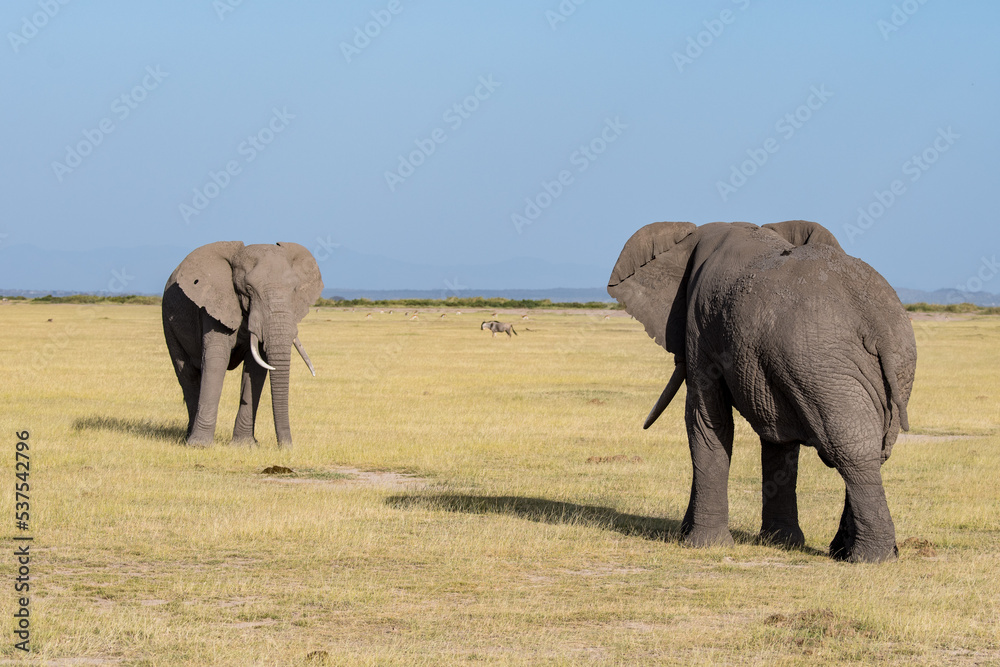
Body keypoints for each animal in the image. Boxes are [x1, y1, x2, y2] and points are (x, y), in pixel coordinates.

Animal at [162, 241, 323, 447]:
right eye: (248, 289)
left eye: (294, 289)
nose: (287, 448)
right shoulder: (216, 302)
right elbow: (215, 362)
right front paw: (200, 446)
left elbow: (256, 368)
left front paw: (245, 445)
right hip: (168, 321)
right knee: (186, 373)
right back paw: (188, 438)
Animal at [607, 220, 916, 562]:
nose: (681, 532)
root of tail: (876, 322)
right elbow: (777, 437)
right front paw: (781, 543)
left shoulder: (701, 329)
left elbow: (707, 420)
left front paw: (704, 545)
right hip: (892, 362)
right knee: (875, 448)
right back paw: (848, 551)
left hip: (822, 360)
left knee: (850, 448)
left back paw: (869, 558)